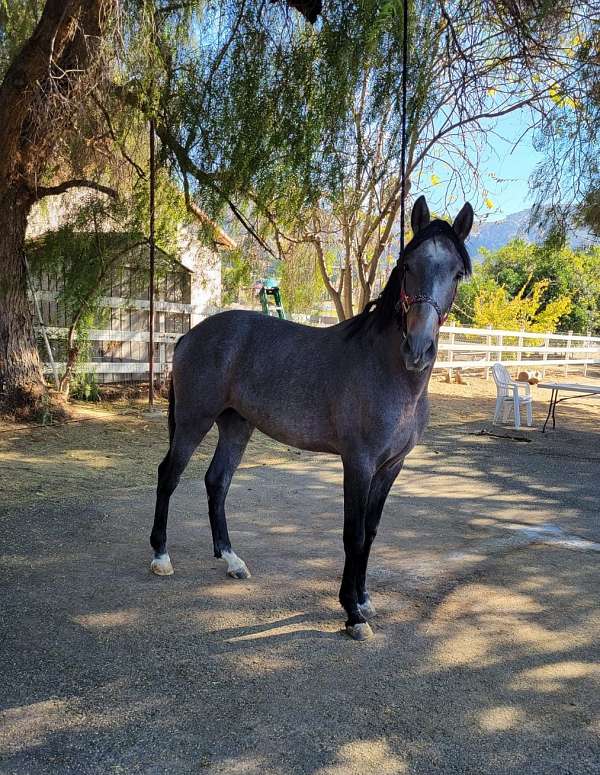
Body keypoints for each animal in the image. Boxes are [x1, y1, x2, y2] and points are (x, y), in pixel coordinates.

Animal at [150, 197, 474, 640]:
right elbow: (353, 534)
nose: (419, 348)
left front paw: (364, 601)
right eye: (408, 265)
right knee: (169, 475)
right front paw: (352, 614)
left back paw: (232, 560)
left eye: (457, 273)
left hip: (236, 425)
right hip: (193, 421)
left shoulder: (391, 466)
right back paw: (161, 556)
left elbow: (371, 532)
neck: (389, 372)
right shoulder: (358, 463)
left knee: (217, 482)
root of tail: (191, 334)